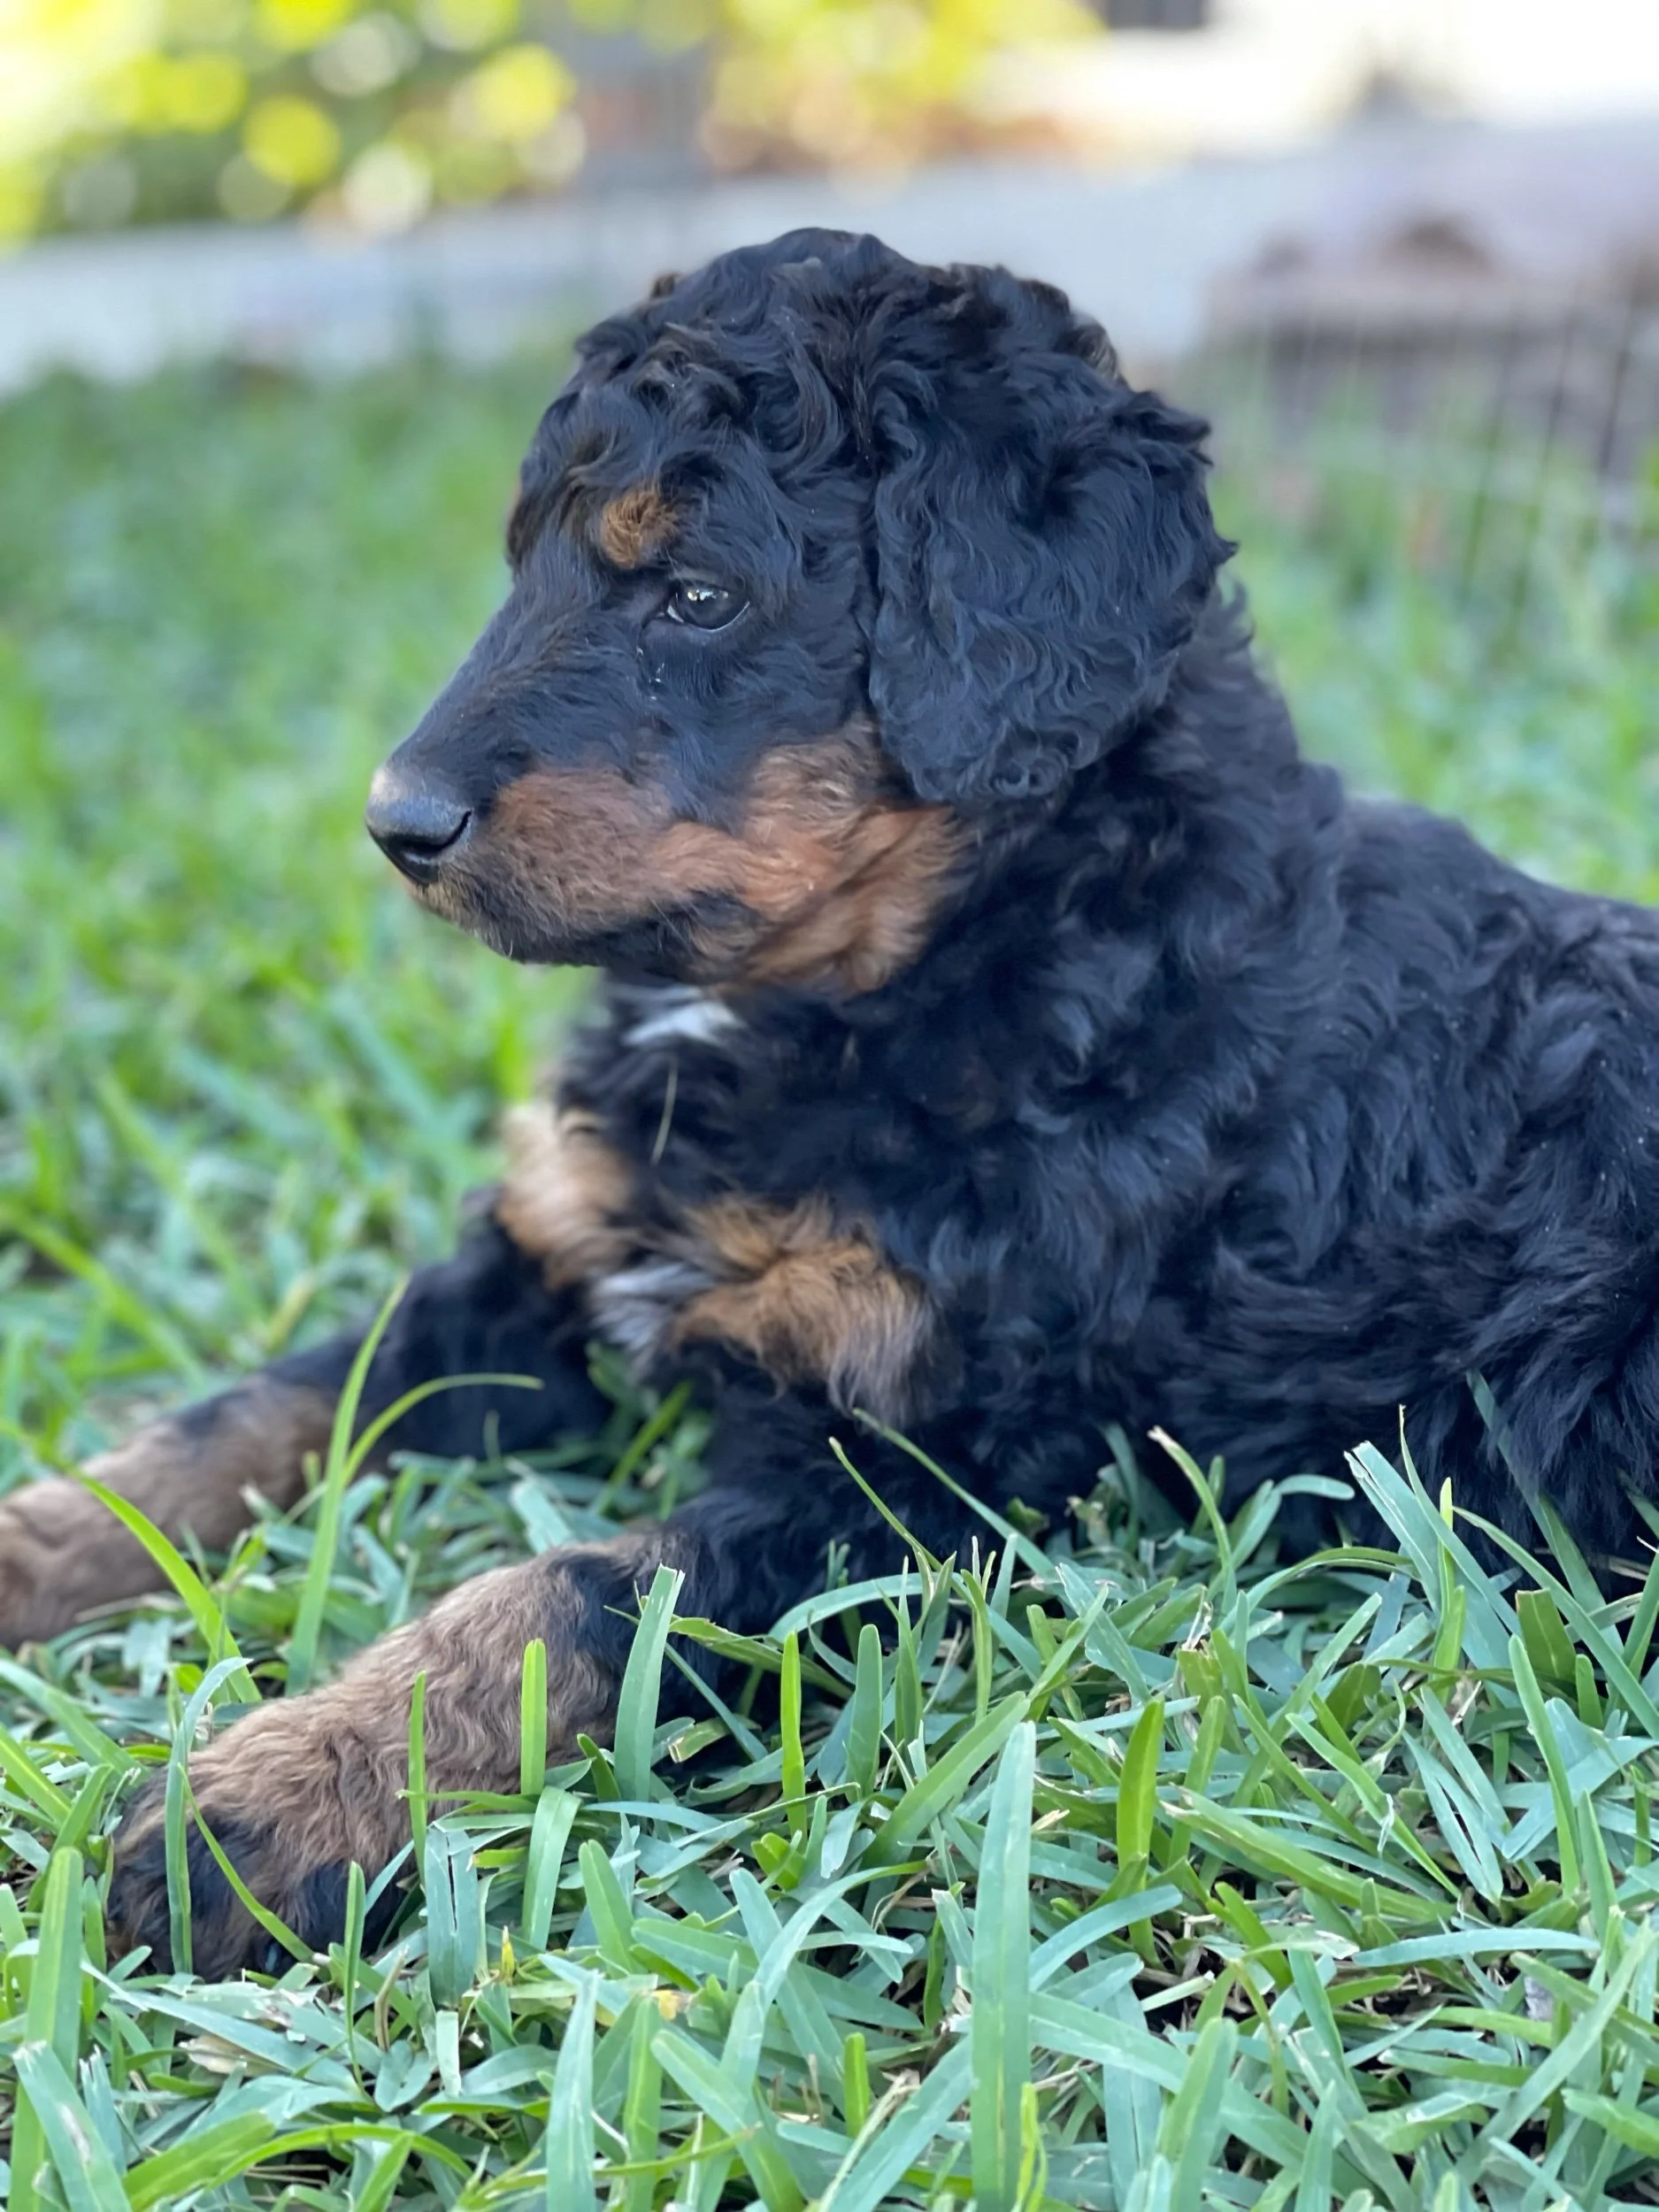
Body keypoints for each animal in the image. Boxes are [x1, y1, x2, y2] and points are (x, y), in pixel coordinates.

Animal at [5, 228, 1657, 1976]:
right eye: (527, 566)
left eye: (699, 595)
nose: (398, 824)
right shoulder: (542, 1275)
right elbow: (257, 1409)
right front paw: (42, 1543)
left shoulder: (921, 1472)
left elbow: (565, 1593)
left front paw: (261, 1808)